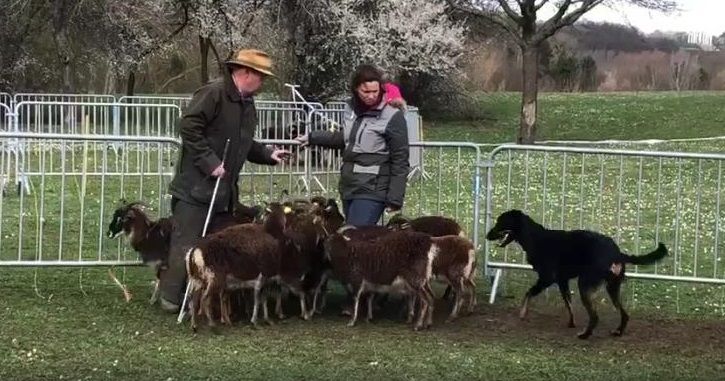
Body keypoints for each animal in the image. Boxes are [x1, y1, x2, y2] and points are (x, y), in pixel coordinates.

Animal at [486, 208, 668, 338]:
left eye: (500, 222)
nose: (487, 236)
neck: (535, 237)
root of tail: (616, 253)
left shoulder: (547, 278)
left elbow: (528, 293)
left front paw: (522, 313)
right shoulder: (562, 281)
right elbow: (569, 304)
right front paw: (571, 323)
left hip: (585, 285)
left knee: (595, 317)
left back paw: (585, 335)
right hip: (612, 288)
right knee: (624, 314)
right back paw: (617, 332)